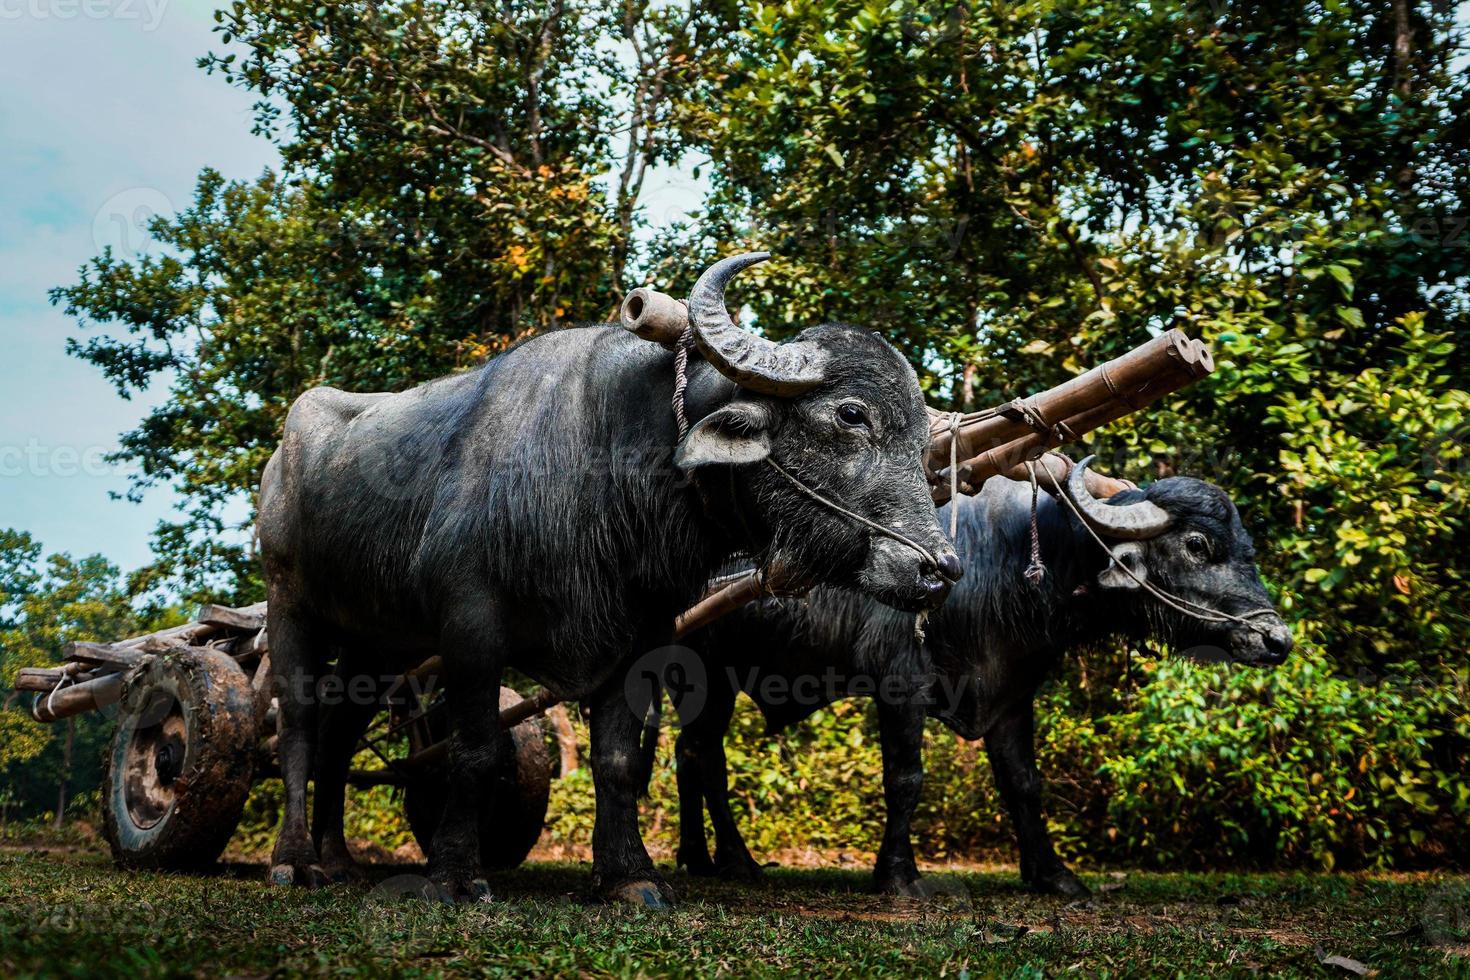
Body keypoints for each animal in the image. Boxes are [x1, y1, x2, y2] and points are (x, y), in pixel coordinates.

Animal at [257, 252, 958, 905]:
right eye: (851, 415)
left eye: (922, 434)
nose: (939, 568)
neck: (606, 469)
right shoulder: (469, 623)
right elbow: (475, 747)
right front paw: (453, 874)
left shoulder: (643, 635)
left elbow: (617, 759)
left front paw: (628, 875)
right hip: (290, 605)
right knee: (298, 727)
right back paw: (295, 861)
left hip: (379, 645)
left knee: (338, 739)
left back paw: (339, 858)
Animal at [673, 458, 1293, 899]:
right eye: (1197, 545)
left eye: (1247, 548)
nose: (1276, 639)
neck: (1007, 558)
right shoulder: (900, 685)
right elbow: (906, 778)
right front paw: (898, 875)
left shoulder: (1011, 693)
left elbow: (1024, 783)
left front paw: (1053, 874)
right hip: (707, 672)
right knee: (706, 755)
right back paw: (736, 861)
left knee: (691, 753)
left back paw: (698, 858)